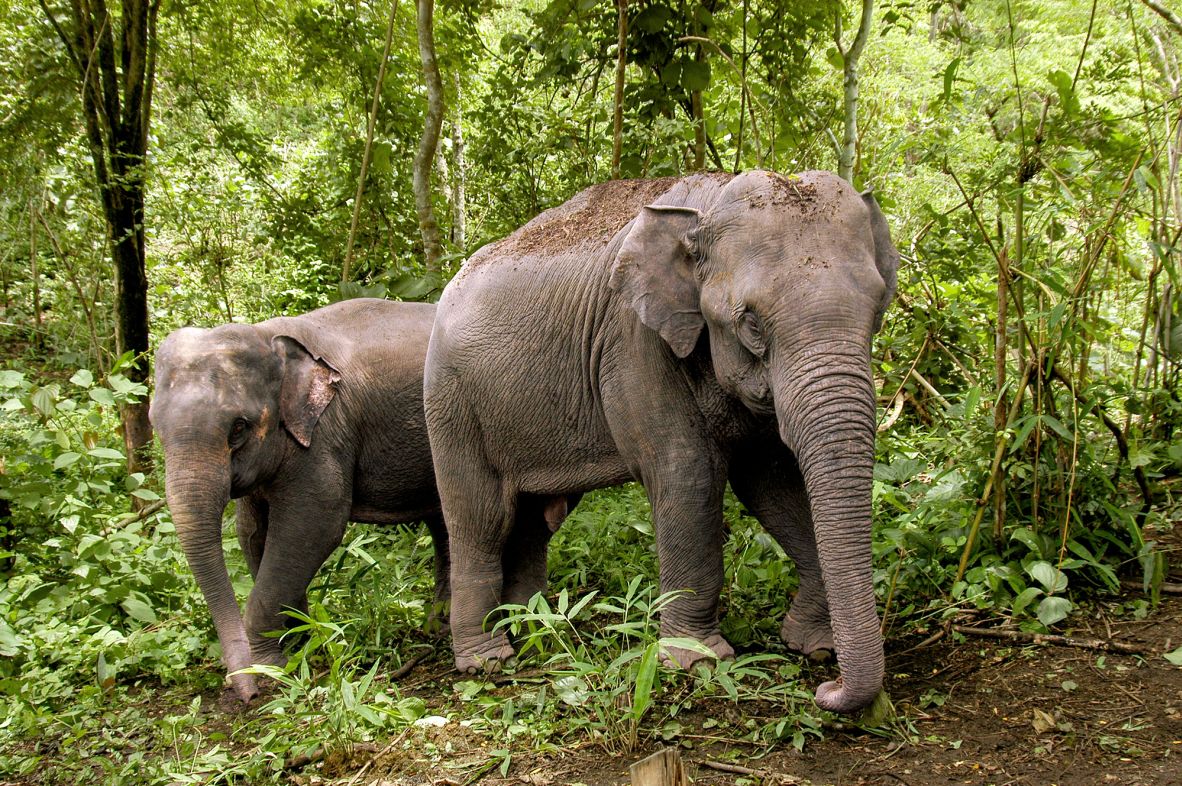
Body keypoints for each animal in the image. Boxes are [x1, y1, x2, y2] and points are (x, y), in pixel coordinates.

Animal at [150, 299, 449, 703]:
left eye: (238, 427)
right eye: (155, 425)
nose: (247, 695)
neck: (268, 335)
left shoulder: (324, 435)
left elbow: (311, 527)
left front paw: (269, 667)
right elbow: (251, 532)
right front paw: (298, 641)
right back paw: (438, 628)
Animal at [423, 170, 898, 714]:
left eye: (877, 310)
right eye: (751, 324)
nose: (826, 691)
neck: (708, 204)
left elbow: (774, 488)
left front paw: (813, 646)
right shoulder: (633, 342)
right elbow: (688, 474)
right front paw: (697, 662)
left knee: (531, 522)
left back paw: (533, 633)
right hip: (452, 404)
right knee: (481, 520)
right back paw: (487, 661)